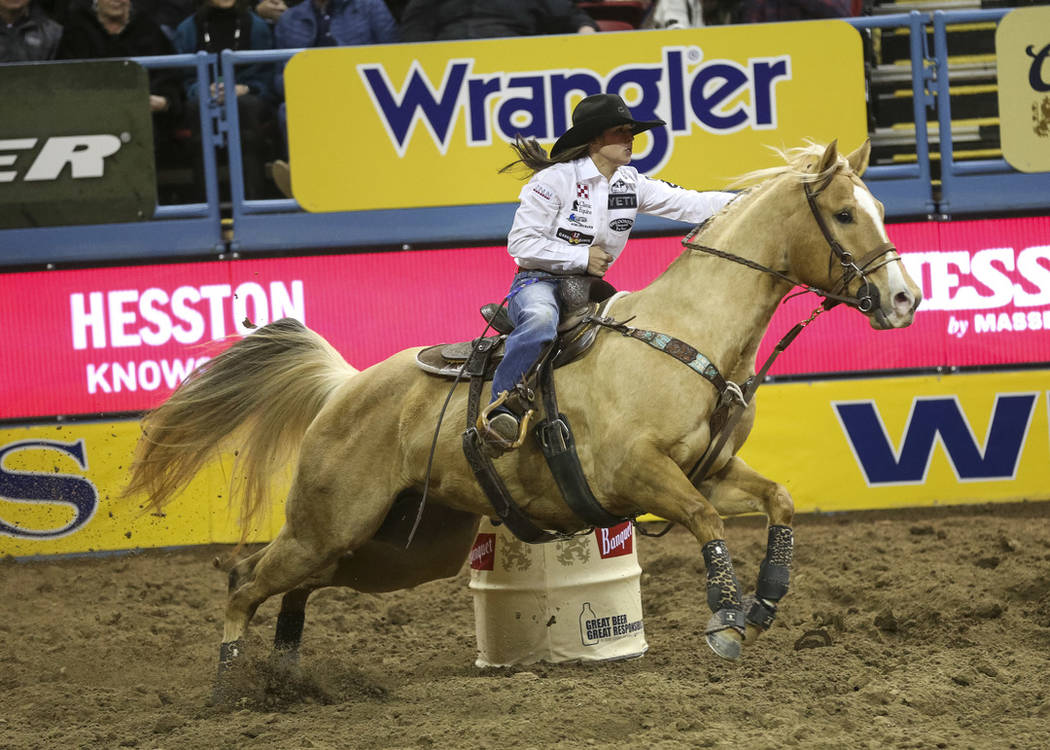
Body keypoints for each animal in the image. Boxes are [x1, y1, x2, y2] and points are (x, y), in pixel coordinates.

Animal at [122, 141, 919, 684]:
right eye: (844, 213)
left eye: (879, 210)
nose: (905, 298)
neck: (687, 332)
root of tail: (344, 388)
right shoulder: (642, 475)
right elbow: (707, 523)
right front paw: (725, 620)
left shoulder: (711, 467)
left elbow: (778, 502)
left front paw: (764, 602)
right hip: (329, 524)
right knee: (244, 579)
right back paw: (231, 687)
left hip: (395, 547)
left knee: (287, 583)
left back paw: (284, 676)